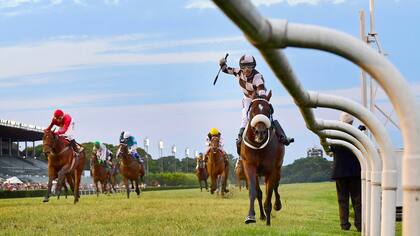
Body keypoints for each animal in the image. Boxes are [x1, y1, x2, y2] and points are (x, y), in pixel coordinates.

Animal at [241, 91, 284, 226]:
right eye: (252, 110)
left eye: (268, 110)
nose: (260, 132)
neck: (258, 146)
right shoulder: (249, 166)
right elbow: (253, 192)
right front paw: (251, 216)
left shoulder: (271, 170)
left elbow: (269, 193)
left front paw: (269, 222)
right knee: (260, 193)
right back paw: (262, 215)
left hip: (278, 168)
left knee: (276, 185)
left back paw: (277, 205)